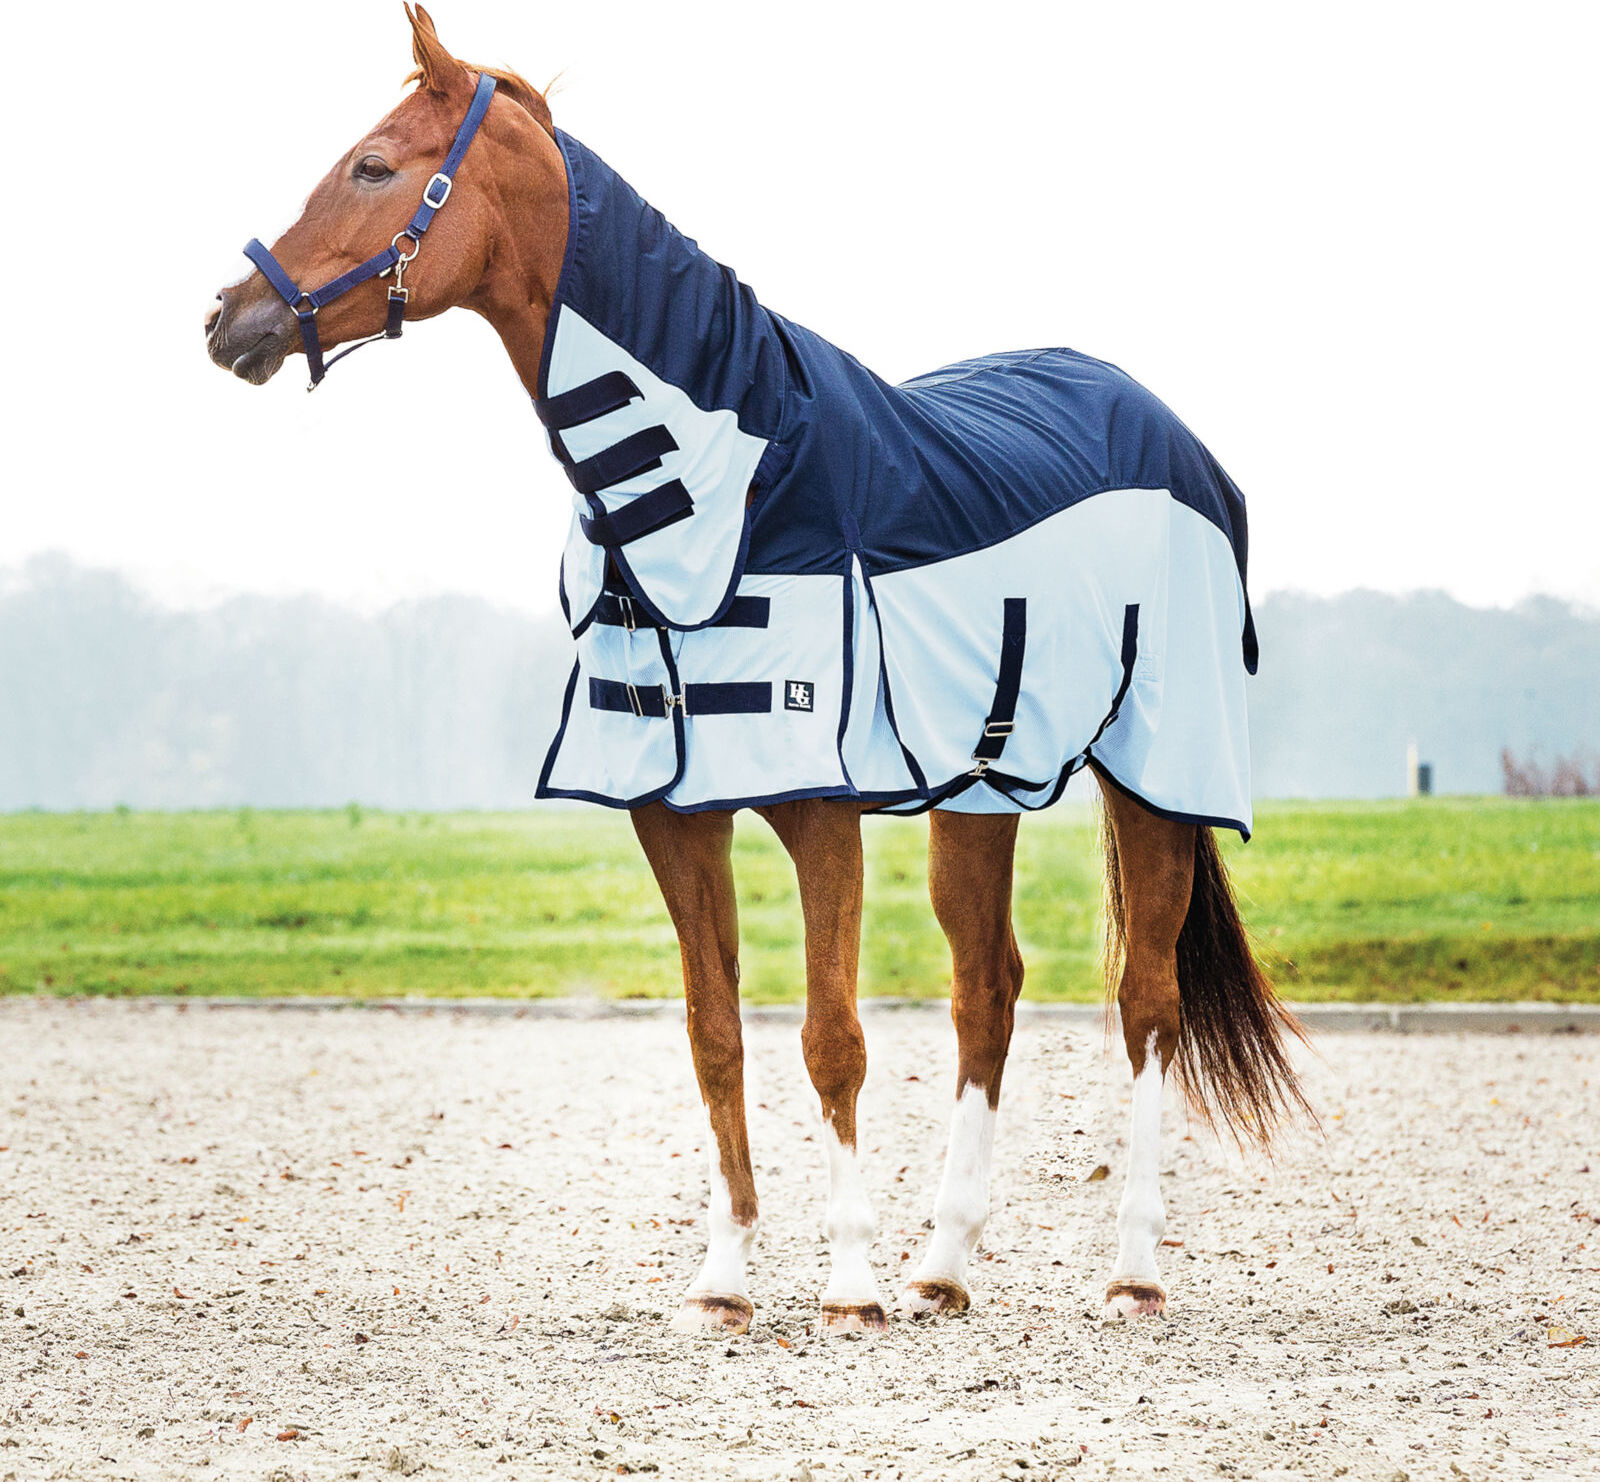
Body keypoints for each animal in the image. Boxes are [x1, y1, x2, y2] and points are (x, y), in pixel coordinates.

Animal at [204, 4, 1311, 1335]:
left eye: (372, 166)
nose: (227, 319)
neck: (727, 486)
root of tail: (1163, 427)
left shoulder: (817, 809)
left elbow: (831, 1036)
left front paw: (846, 1284)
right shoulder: (674, 813)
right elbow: (715, 1032)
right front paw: (725, 1281)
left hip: (1153, 771)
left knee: (1145, 999)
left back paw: (1130, 1269)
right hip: (983, 790)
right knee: (986, 988)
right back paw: (944, 1263)